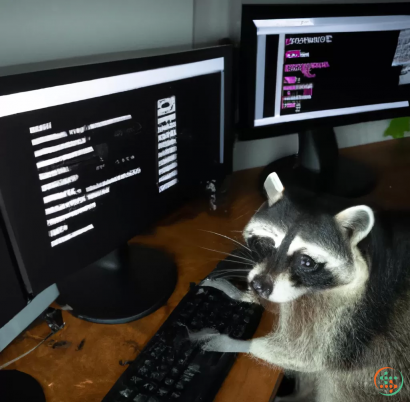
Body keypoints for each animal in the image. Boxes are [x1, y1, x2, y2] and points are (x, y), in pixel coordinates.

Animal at [192, 173, 410, 402]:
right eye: (266, 243)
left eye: (306, 262)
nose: (258, 286)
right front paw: (239, 292)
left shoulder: (350, 317)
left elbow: (306, 355)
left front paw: (231, 342)